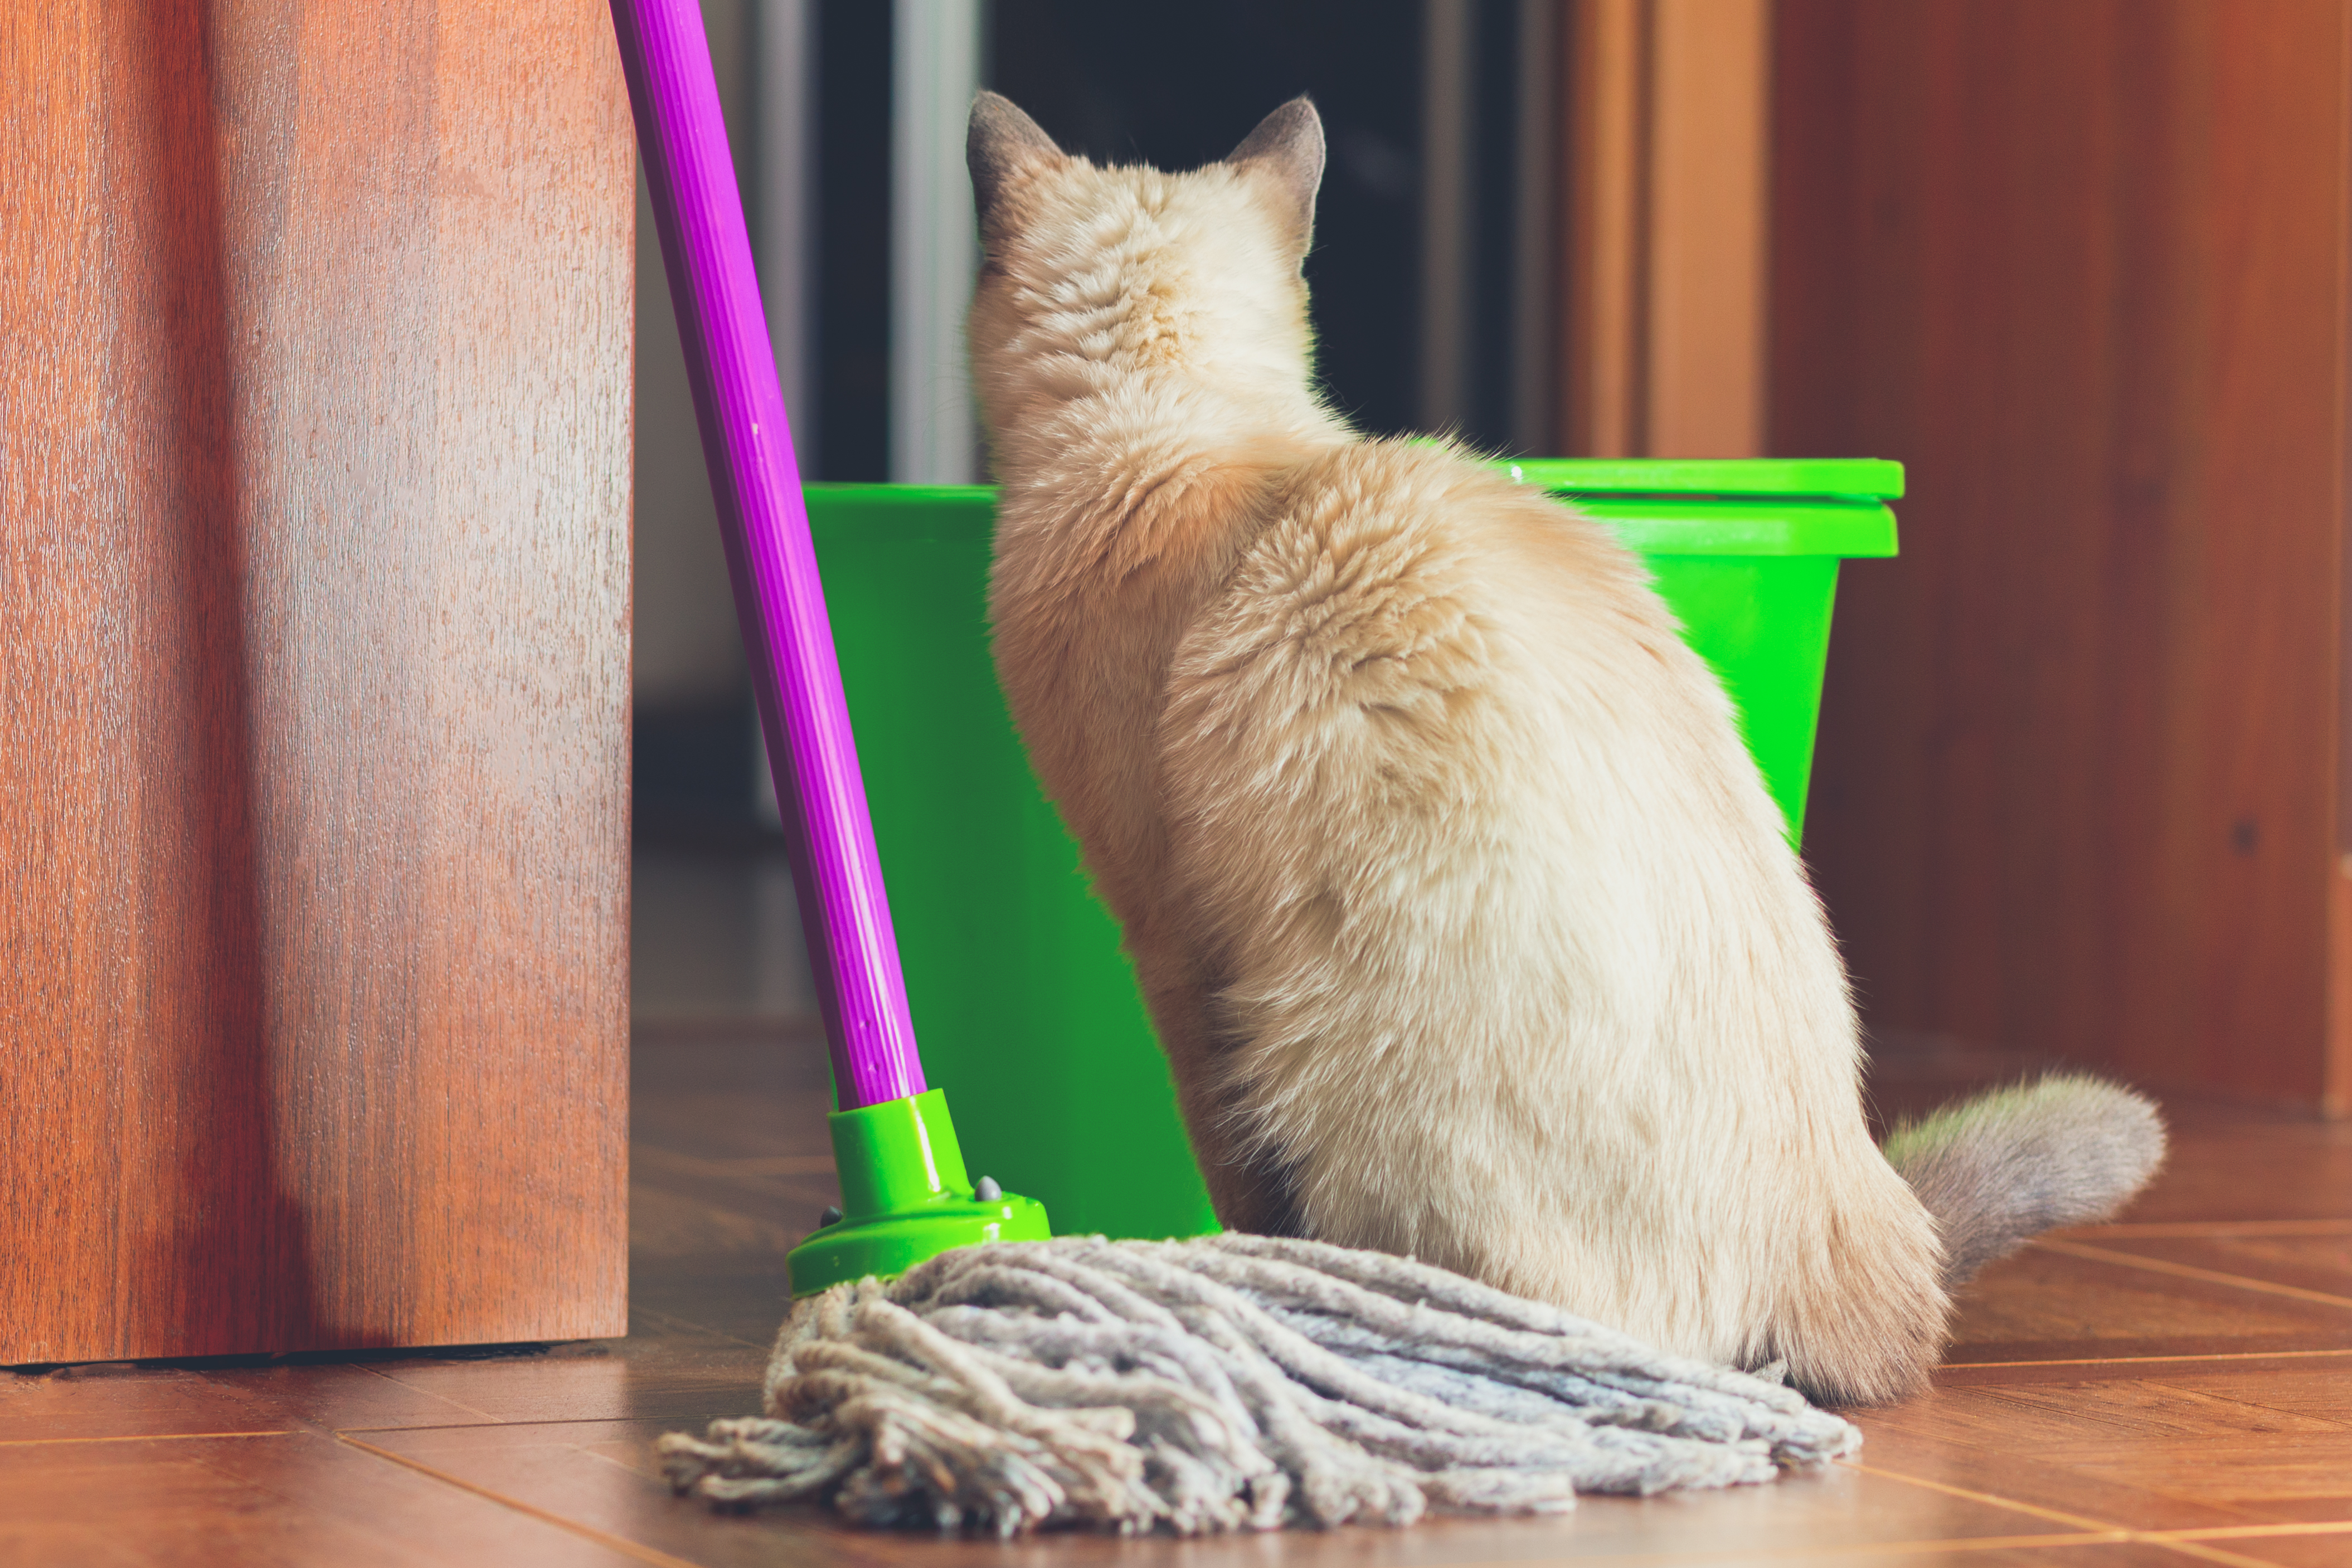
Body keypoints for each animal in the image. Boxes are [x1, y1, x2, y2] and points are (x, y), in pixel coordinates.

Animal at [959, 92, 2164, 1401]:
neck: (1186, 431)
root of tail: (1860, 1234)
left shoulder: (1171, 943)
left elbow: (1231, 1171)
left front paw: (1235, 1265)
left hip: (1321, 1047)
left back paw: (1331, 1304)